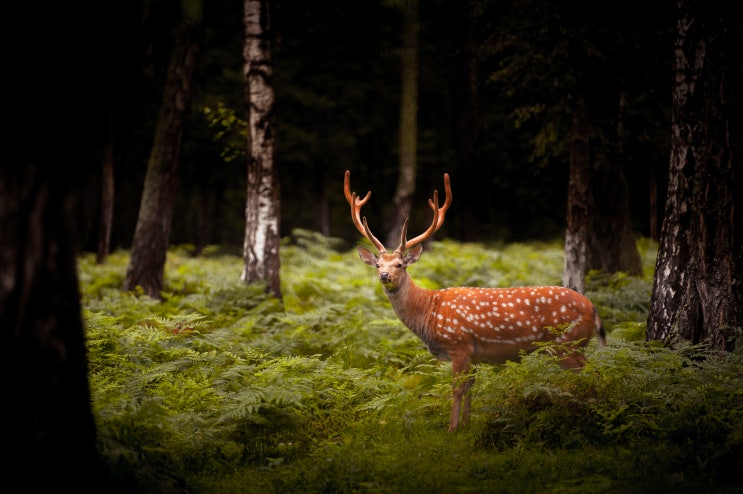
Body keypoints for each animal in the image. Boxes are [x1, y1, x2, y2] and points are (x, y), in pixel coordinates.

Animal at [346, 170, 608, 432]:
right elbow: (470, 388)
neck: (428, 311)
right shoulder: (473, 354)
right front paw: (466, 425)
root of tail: (593, 309)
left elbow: (457, 389)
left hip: (567, 342)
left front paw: (451, 429)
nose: (384, 275)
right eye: (378, 264)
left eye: (400, 264)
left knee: (593, 372)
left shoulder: (459, 345)